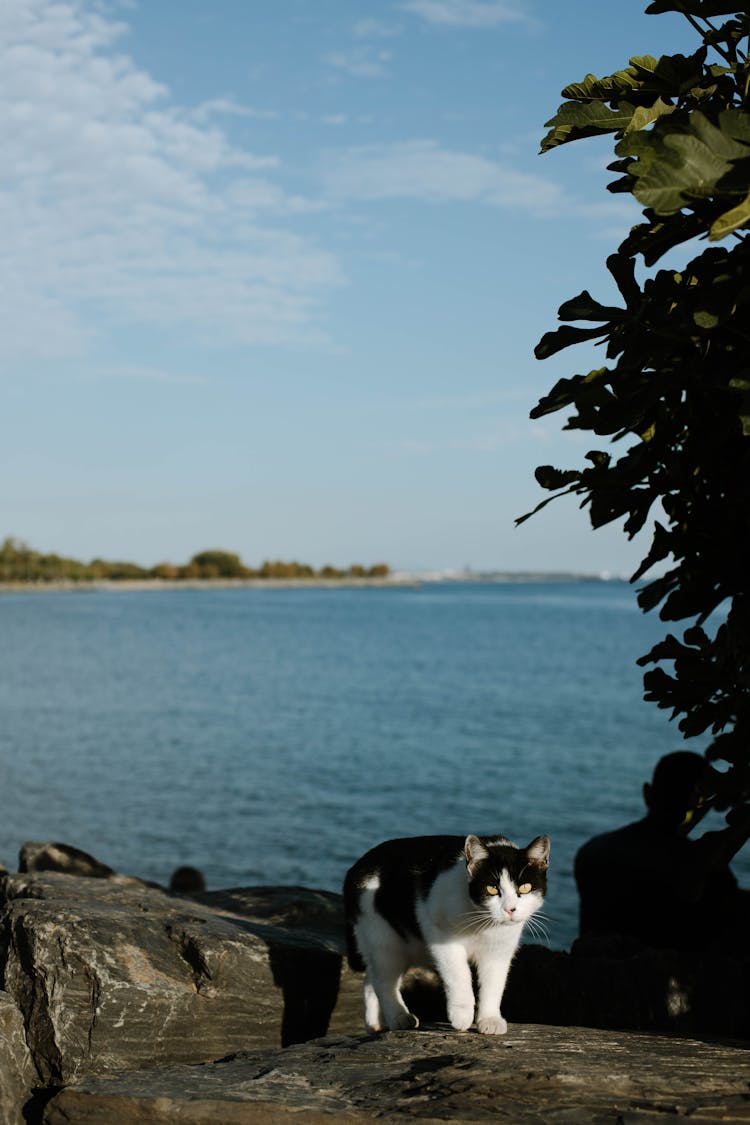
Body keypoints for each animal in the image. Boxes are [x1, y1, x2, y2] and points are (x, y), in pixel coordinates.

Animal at [344, 832, 548, 1030]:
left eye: (525, 888)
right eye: (491, 889)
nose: (509, 909)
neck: (484, 924)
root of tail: (356, 868)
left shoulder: (499, 951)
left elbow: (494, 983)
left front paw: (489, 1019)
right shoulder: (441, 935)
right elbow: (459, 974)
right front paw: (462, 1014)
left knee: (370, 979)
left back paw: (375, 1025)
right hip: (382, 938)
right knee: (383, 981)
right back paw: (398, 1017)